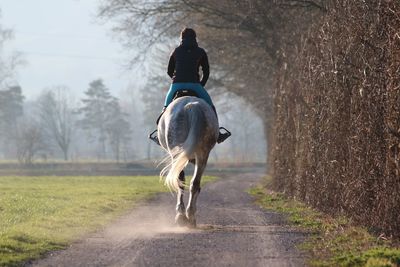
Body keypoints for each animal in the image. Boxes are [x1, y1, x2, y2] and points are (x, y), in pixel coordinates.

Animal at [157, 96, 219, 228]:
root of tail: (191, 106)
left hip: (177, 153)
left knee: (180, 181)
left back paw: (183, 215)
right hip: (203, 154)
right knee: (194, 183)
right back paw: (190, 215)